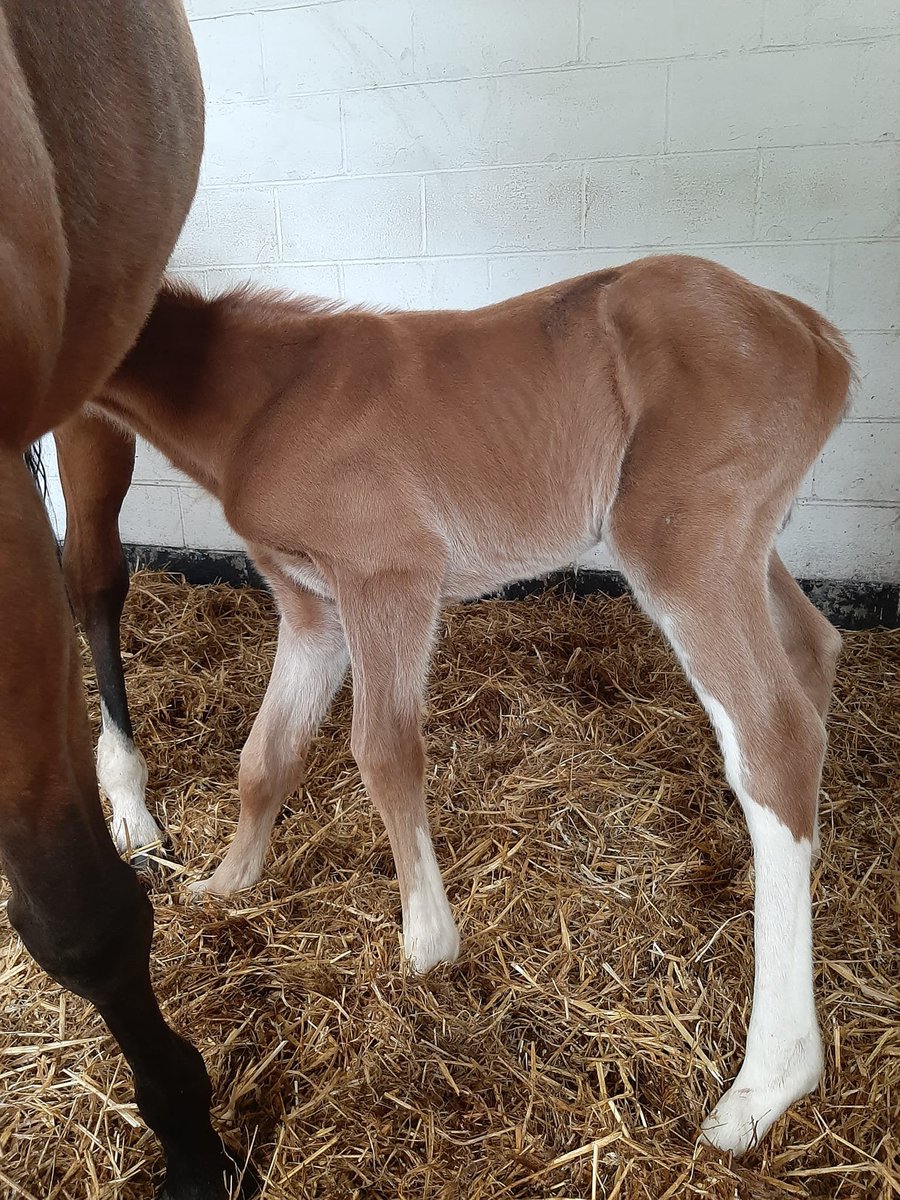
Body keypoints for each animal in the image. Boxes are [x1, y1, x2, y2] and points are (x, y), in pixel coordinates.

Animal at [72, 258, 854, 1156]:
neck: (266, 398)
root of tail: (808, 329)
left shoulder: (389, 574)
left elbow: (382, 750)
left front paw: (427, 944)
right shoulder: (311, 608)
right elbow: (266, 756)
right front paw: (228, 881)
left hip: (681, 541)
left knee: (773, 737)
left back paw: (766, 1084)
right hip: (742, 545)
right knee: (812, 651)